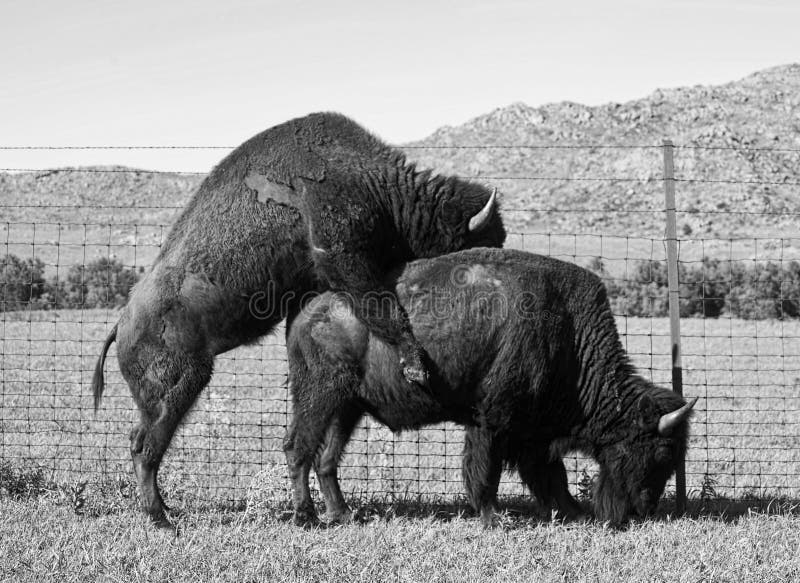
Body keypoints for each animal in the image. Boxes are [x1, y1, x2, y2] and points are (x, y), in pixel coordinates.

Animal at [92, 112, 506, 528]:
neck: (371, 180)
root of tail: (121, 325)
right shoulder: (343, 258)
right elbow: (380, 306)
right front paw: (416, 365)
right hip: (182, 384)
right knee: (146, 447)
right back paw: (161, 517)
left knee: (139, 441)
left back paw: (164, 512)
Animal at [286, 249, 692, 528]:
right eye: (659, 453)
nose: (642, 510)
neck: (568, 335)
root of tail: (307, 312)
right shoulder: (492, 421)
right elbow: (486, 470)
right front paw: (494, 517)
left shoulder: (534, 434)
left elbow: (552, 475)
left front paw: (573, 512)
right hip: (320, 398)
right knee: (298, 449)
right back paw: (306, 516)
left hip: (347, 408)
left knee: (326, 459)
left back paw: (342, 514)